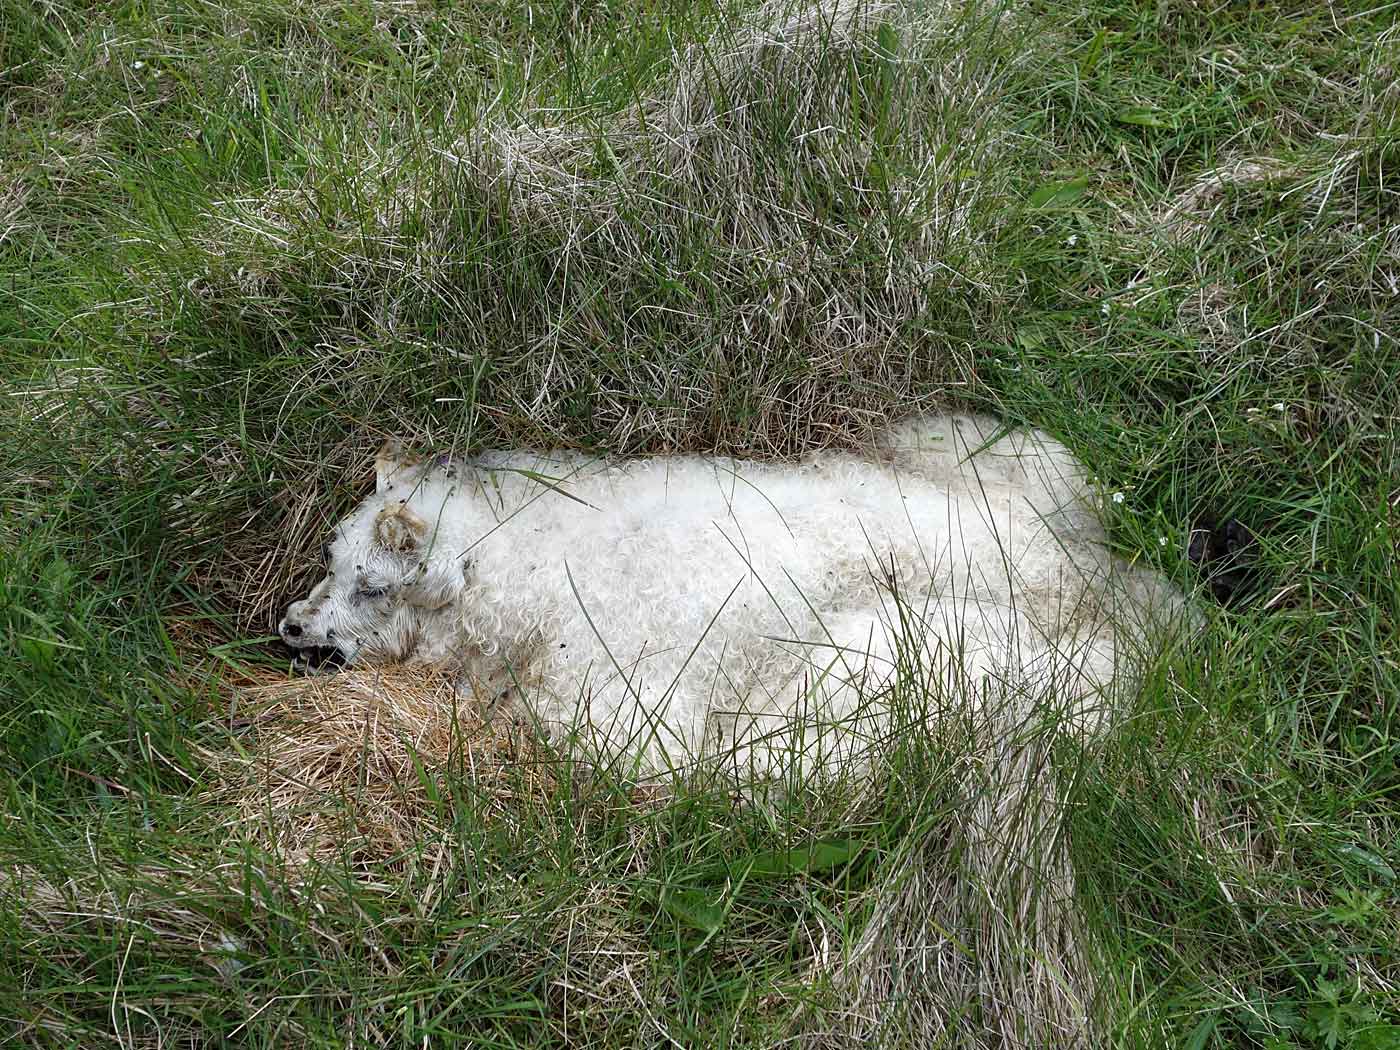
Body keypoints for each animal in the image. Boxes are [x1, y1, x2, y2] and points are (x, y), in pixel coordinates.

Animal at [281, 417, 1181, 772]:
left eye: (371, 587)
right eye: (332, 558)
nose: (290, 624)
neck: (522, 574)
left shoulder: (620, 709)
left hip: (890, 678)